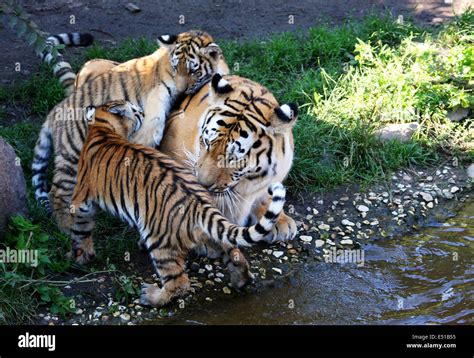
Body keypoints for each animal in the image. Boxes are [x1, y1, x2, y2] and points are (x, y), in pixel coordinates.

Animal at [31, 30, 228, 232]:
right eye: (176, 68)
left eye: (193, 71)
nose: (182, 90)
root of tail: (53, 112)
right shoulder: (156, 99)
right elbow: (151, 129)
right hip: (72, 153)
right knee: (56, 193)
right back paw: (67, 228)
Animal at [70, 99, 286, 306]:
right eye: (135, 110)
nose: (142, 111)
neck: (103, 127)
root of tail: (201, 205)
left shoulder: (81, 199)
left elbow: (80, 228)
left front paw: (82, 256)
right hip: (212, 230)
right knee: (234, 253)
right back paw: (242, 281)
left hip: (160, 242)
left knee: (179, 282)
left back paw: (151, 297)